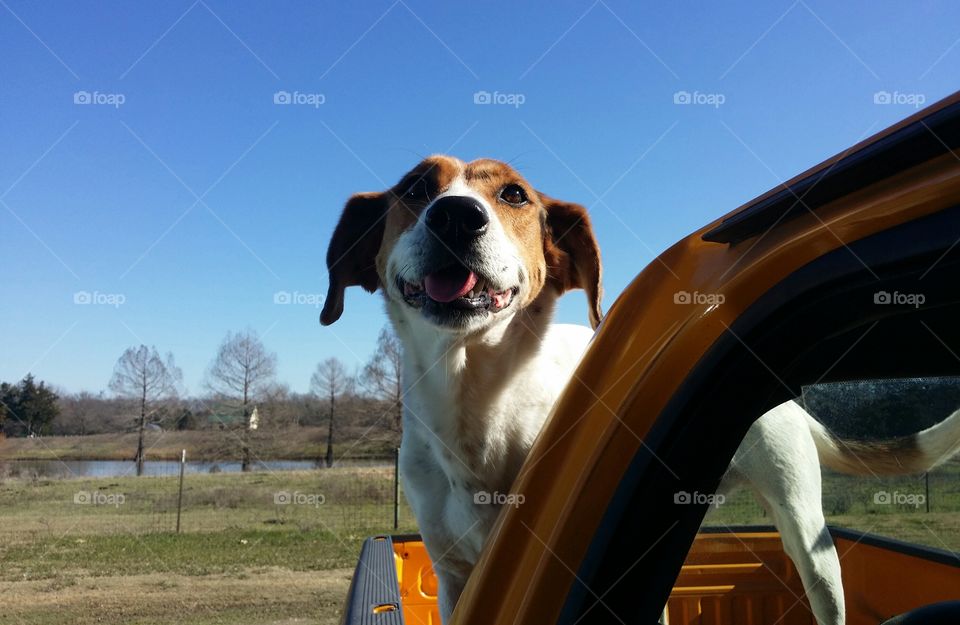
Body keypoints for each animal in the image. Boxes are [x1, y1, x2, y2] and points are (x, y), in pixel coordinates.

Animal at [320, 156, 960, 624]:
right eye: (414, 187)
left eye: (515, 195)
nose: (454, 215)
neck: (476, 398)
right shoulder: (456, 577)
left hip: (806, 532)